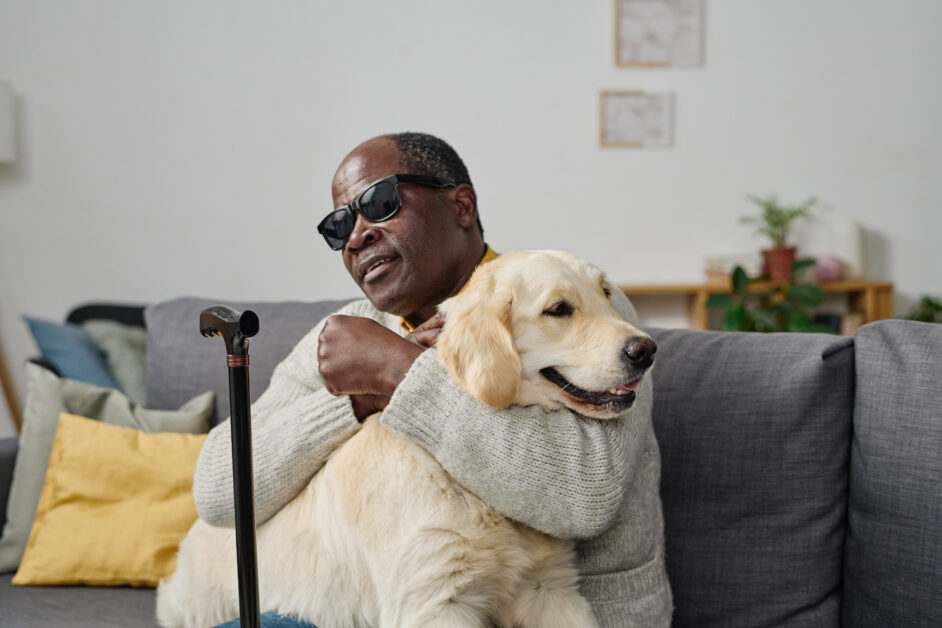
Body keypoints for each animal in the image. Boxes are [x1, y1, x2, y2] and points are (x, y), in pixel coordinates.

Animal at [157, 250, 656, 628]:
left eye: (606, 294)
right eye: (558, 309)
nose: (647, 351)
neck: (465, 481)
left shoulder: (549, 590)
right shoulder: (434, 603)